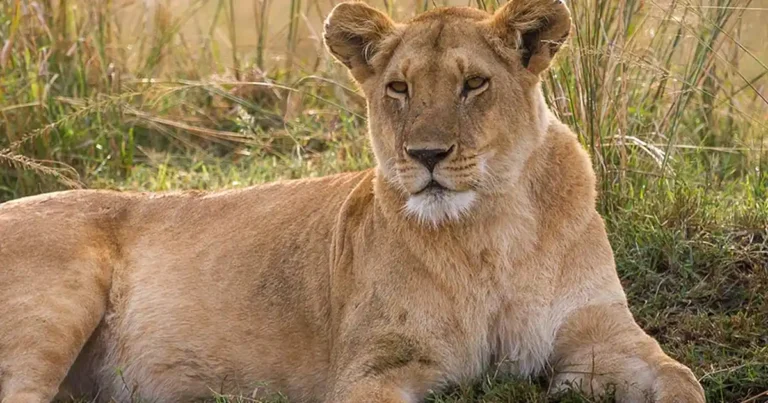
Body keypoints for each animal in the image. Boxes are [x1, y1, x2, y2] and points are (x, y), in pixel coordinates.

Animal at [0, 1, 705, 402]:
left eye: (473, 84)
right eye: (398, 88)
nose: (425, 155)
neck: (491, 231)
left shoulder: (603, 335)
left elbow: (684, 380)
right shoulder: (372, 369)